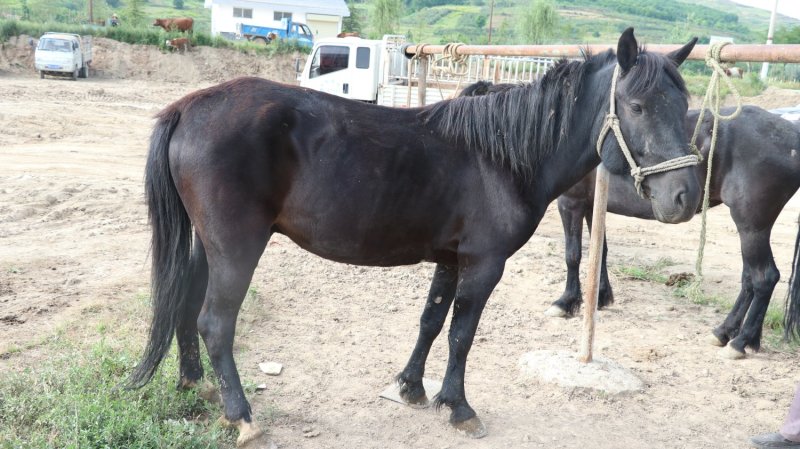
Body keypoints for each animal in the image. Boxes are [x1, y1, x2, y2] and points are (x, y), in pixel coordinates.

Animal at [128, 29, 700, 447]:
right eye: (637, 106)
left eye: (684, 104)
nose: (684, 197)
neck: (501, 157)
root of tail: (189, 105)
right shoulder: (484, 265)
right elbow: (462, 333)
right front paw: (459, 406)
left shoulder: (450, 259)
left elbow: (431, 321)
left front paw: (411, 387)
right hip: (237, 247)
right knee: (215, 322)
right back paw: (242, 415)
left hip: (207, 245)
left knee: (185, 307)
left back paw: (195, 384)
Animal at [547, 106, 800, 359]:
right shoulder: (592, 205)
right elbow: (599, 252)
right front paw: (600, 297)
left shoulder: (570, 202)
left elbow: (573, 255)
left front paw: (566, 302)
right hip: (752, 230)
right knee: (749, 279)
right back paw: (726, 333)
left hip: (751, 227)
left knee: (764, 278)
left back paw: (741, 341)